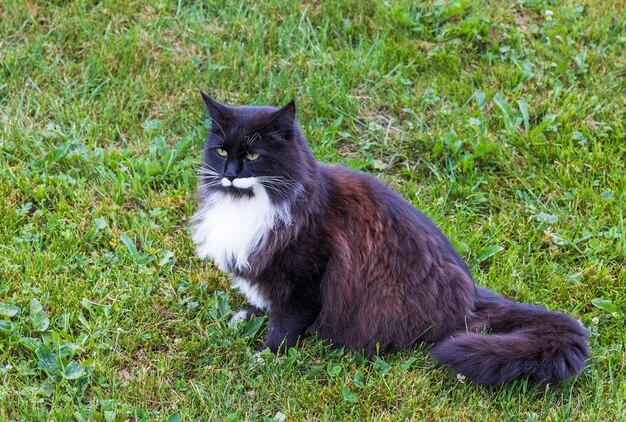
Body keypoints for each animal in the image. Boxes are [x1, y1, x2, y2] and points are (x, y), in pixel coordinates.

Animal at [191, 94, 588, 388]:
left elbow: (286, 324)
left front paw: (267, 356)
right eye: (222, 151)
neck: (250, 203)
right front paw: (247, 315)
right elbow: (265, 303)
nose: (229, 175)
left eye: (253, 155)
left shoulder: (305, 276)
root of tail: (473, 298)